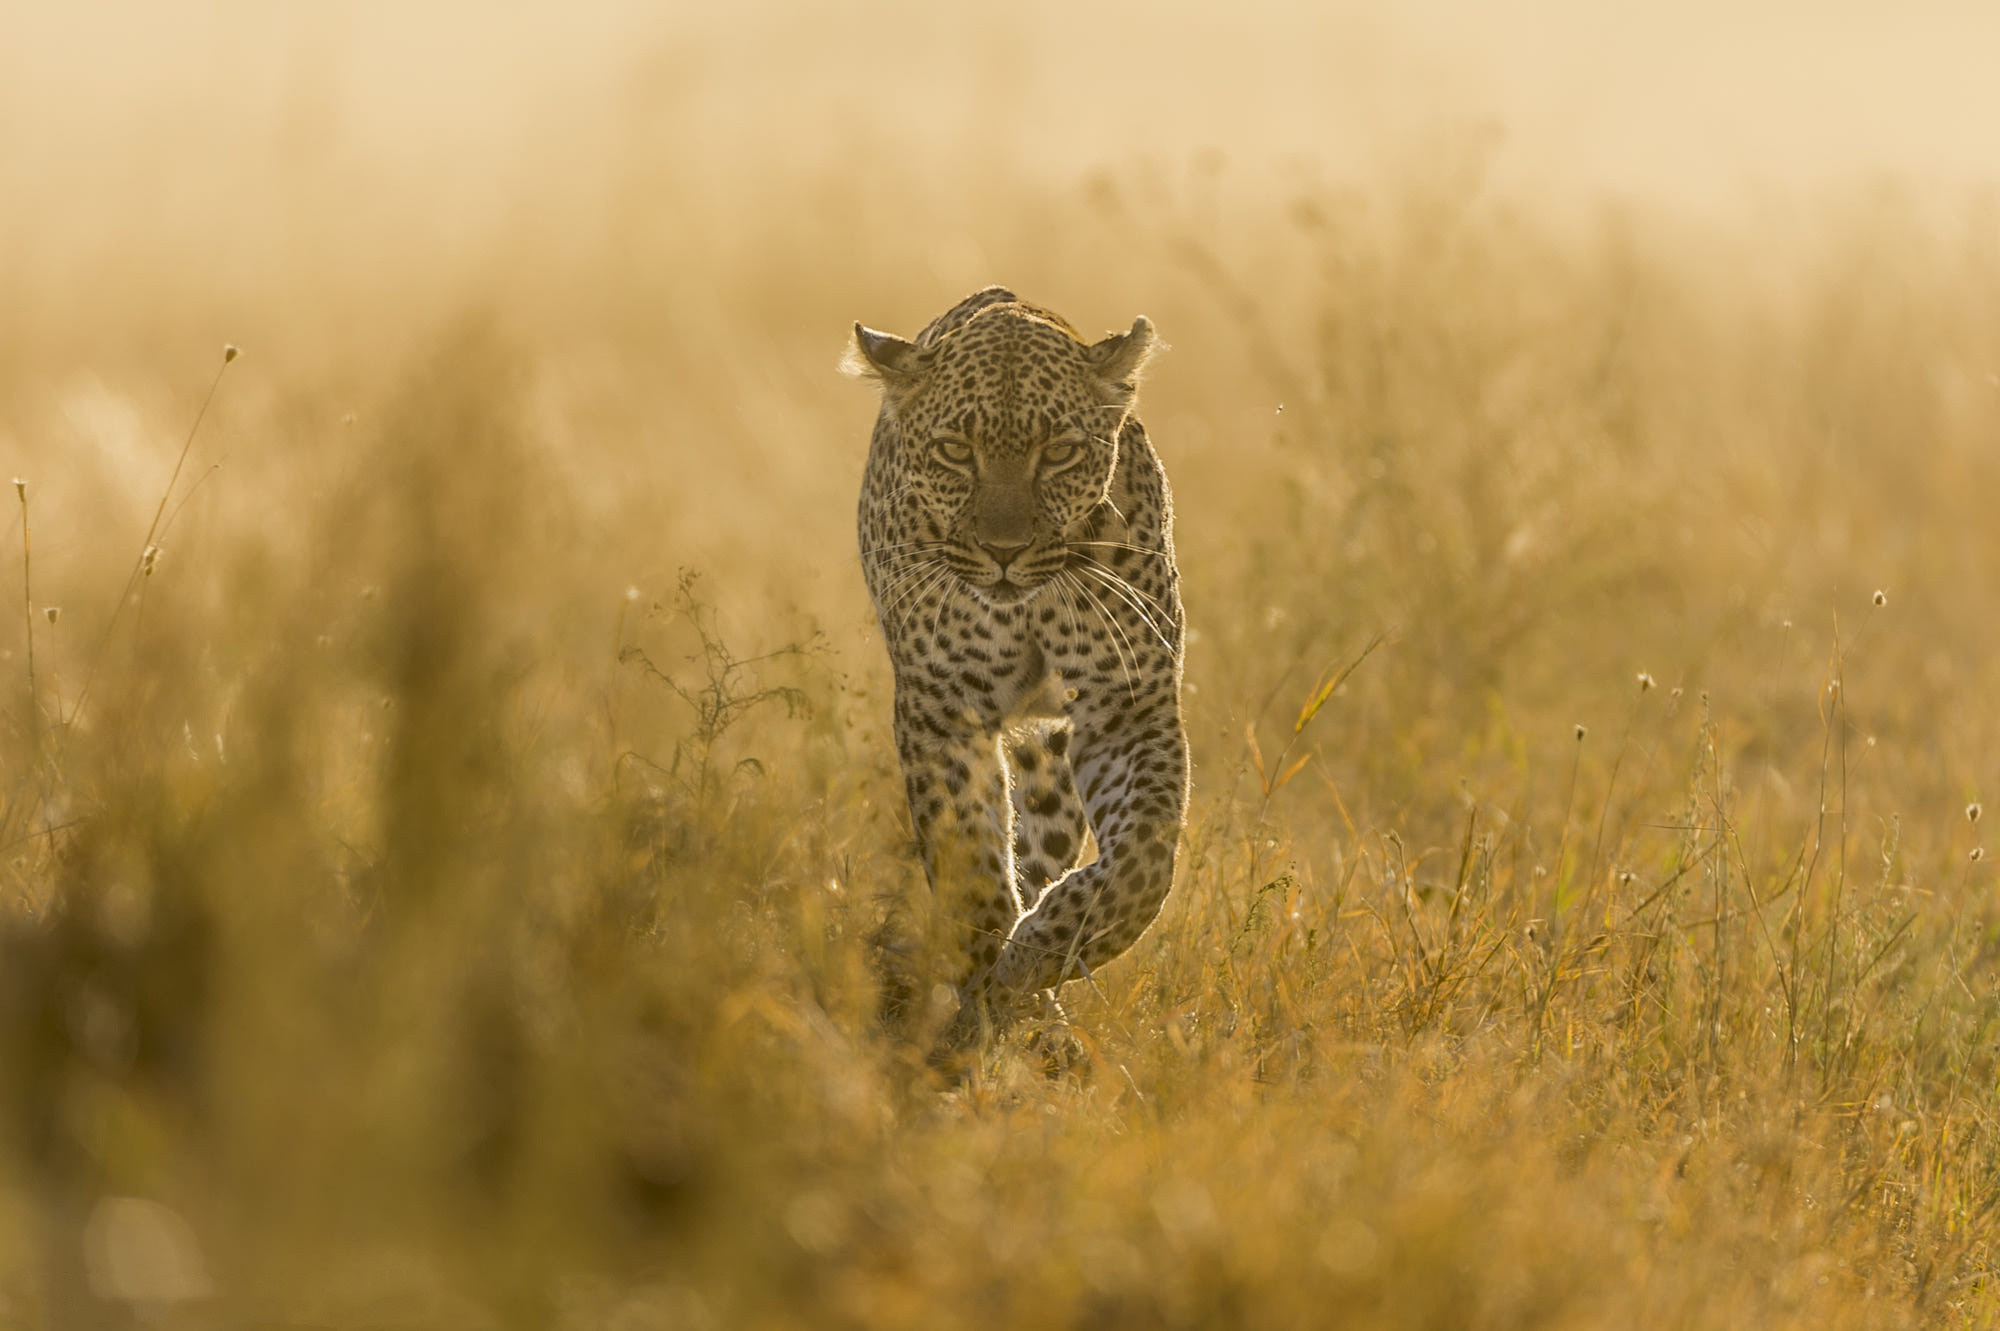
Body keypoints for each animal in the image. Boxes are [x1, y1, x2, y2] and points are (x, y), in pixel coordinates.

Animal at [844, 287, 1184, 1047]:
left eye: (1058, 453)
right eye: (953, 451)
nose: (1004, 551)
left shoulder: (1129, 705)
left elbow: (1146, 859)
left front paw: (1037, 954)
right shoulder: (942, 709)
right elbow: (969, 858)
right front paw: (983, 986)